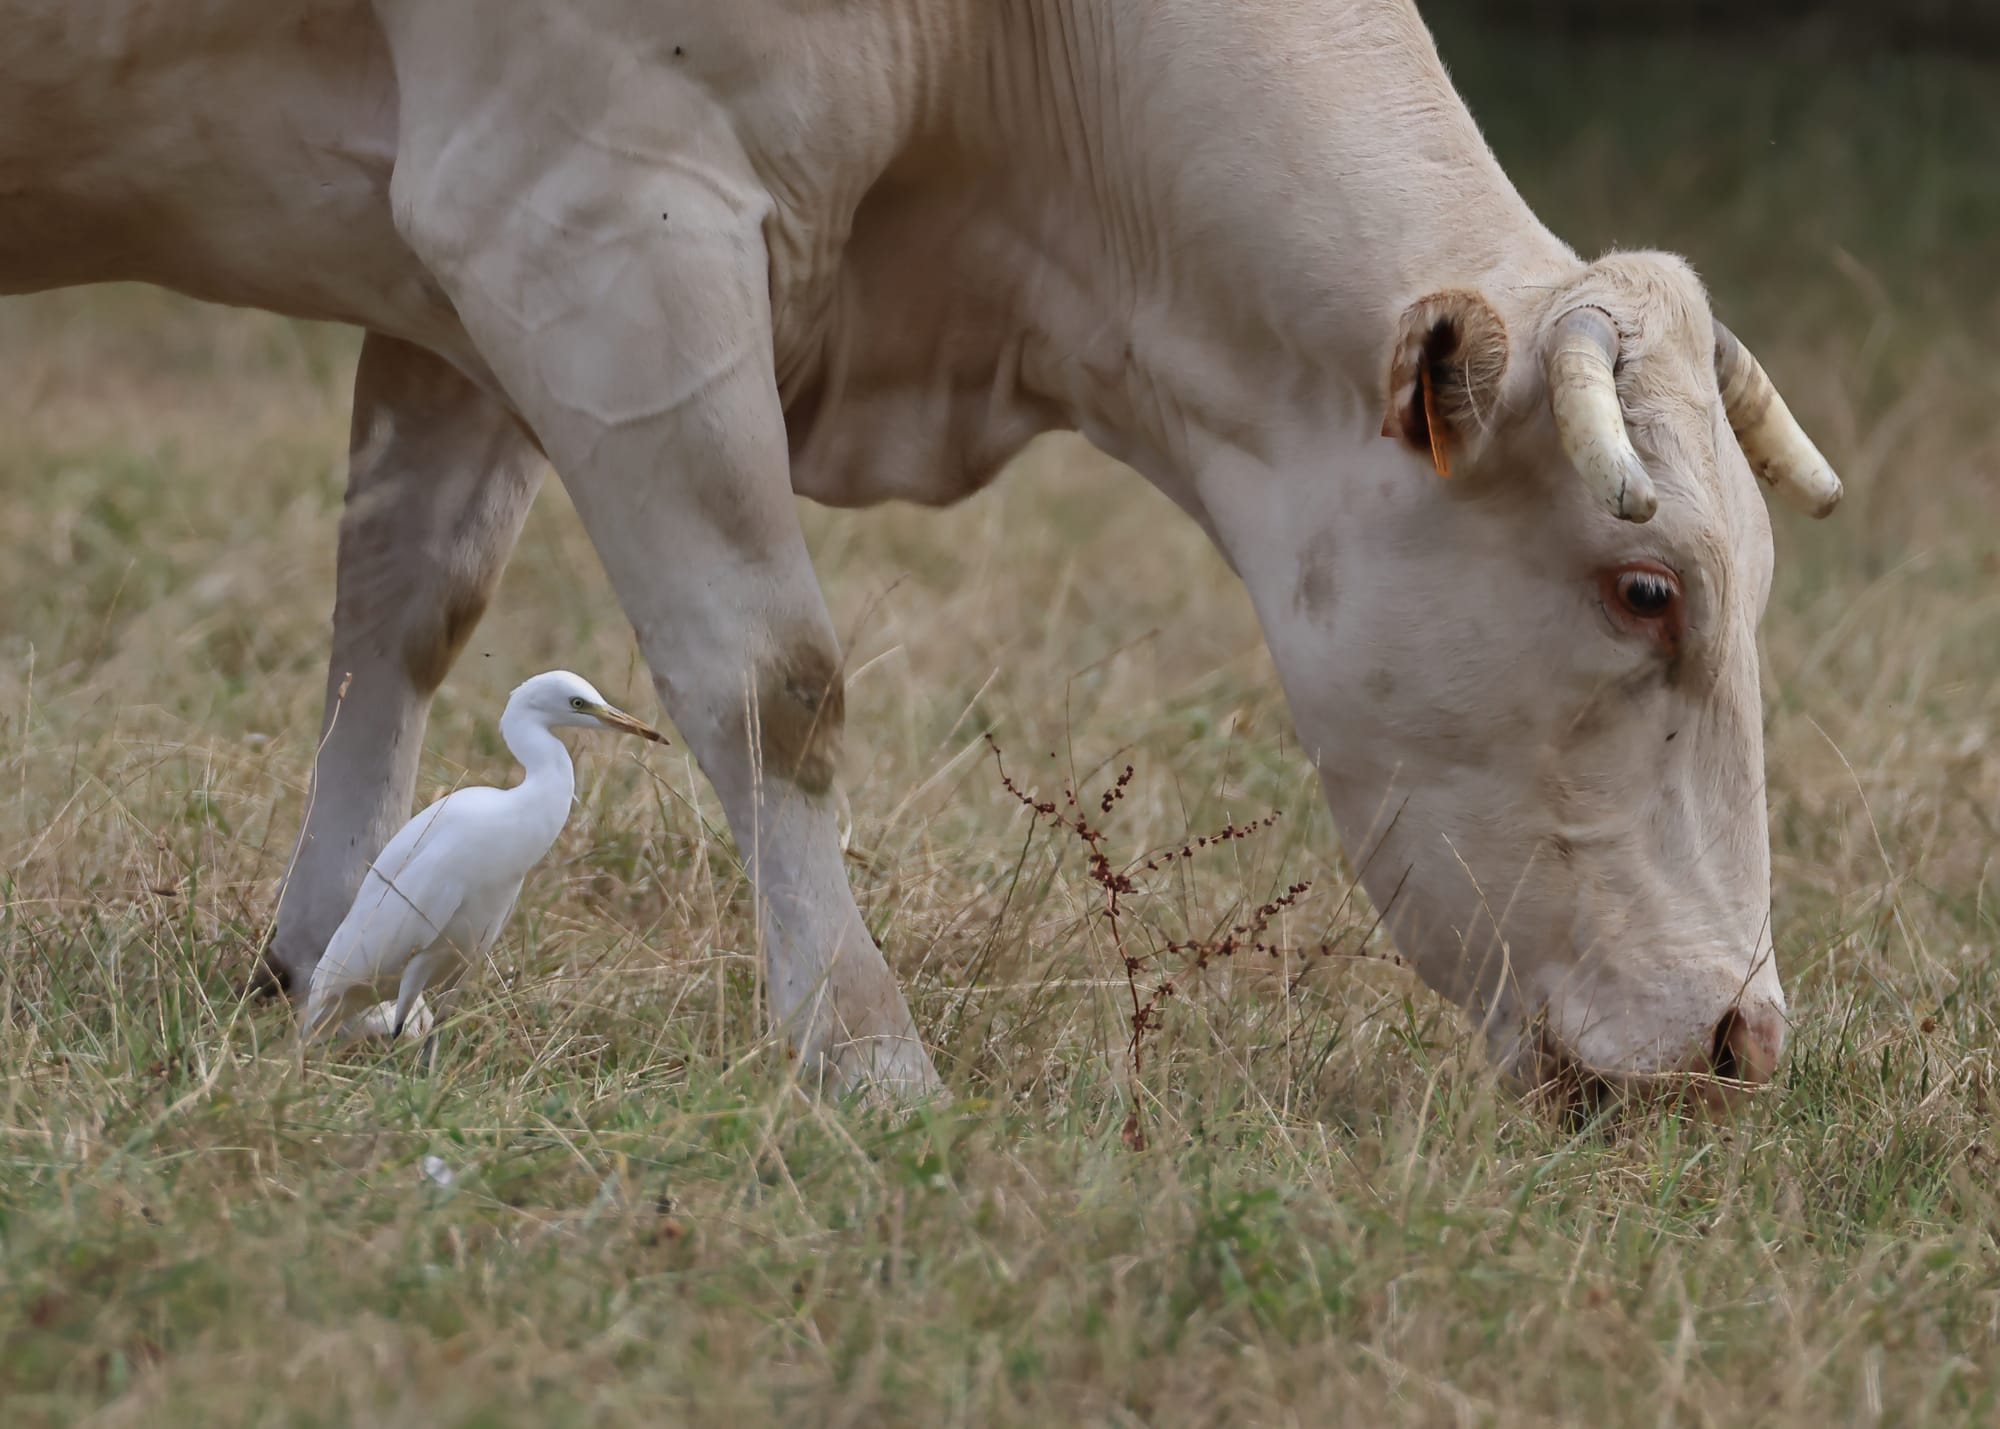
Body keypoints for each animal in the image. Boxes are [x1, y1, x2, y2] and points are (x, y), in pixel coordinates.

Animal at [0, 0, 1840, 1104]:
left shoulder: (448, 284)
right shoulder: (588, 219)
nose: (1746, 1031)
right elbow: (775, 678)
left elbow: (397, 615)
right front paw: (868, 1057)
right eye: (1647, 589)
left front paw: (325, 957)